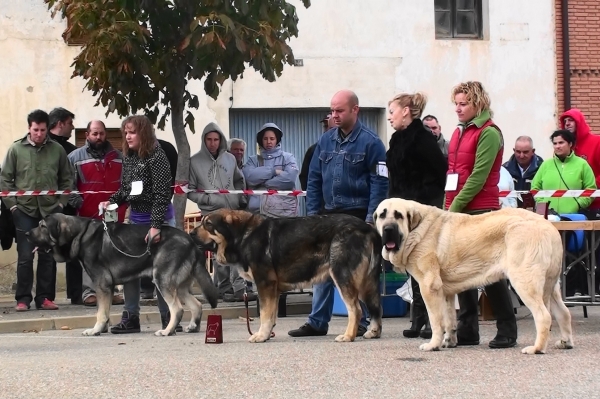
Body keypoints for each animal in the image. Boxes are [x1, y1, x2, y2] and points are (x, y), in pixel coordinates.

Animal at [26, 214, 218, 336]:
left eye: (42, 226)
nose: (26, 233)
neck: (79, 233)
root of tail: (191, 242)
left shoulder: (102, 285)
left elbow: (101, 312)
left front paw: (95, 330)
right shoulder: (106, 288)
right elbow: (104, 311)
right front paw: (102, 328)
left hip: (162, 280)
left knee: (177, 309)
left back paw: (167, 331)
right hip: (180, 285)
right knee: (196, 305)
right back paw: (192, 327)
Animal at [372, 200, 576, 356]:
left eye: (398, 215)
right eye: (382, 215)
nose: (388, 229)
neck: (417, 228)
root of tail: (548, 226)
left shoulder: (429, 287)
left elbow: (436, 320)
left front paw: (433, 344)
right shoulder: (445, 291)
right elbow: (449, 319)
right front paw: (449, 341)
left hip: (524, 281)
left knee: (544, 316)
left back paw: (536, 348)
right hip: (551, 285)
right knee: (564, 313)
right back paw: (565, 342)